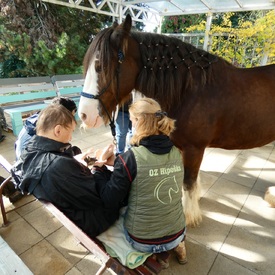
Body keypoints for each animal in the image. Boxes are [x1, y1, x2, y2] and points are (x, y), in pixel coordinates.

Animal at [77, 14, 275, 227]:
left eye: (100, 66)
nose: (84, 115)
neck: (190, 90)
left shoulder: (194, 149)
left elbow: (188, 182)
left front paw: (188, 216)